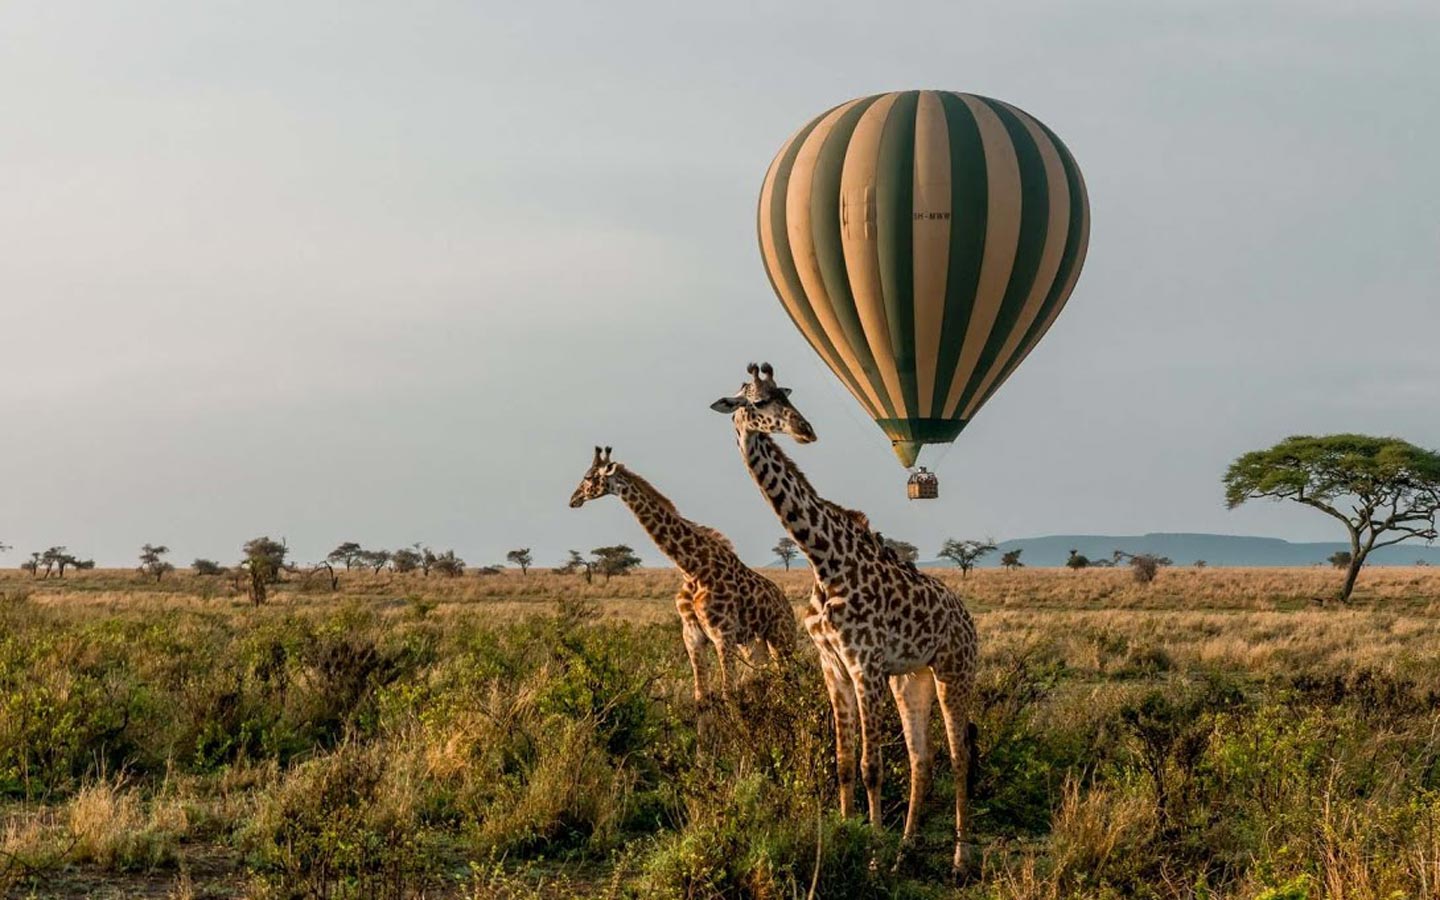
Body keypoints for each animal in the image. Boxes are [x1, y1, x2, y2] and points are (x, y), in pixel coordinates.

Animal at [570, 446, 800, 699]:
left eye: (589, 477)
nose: (573, 499)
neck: (691, 568)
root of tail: (787, 605)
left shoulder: (723, 635)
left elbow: (728, 693)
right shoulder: (693, 637)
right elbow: (701, 696)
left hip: (781, 638)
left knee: (790, 678)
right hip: (754, 645)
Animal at [708, 361, 979, 875]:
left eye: (785, 394)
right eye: (757, 401)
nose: (805, 429)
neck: (823, 558)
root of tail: (968, 618)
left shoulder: (864, 664)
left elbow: (872, 768)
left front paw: (870, 857)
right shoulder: (832, 665)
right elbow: (844, 763)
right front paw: (847, 840)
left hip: (953, 671)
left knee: (958, 758)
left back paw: (957, 860)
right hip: (911, 677)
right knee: (922, 759)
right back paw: (904, 853)